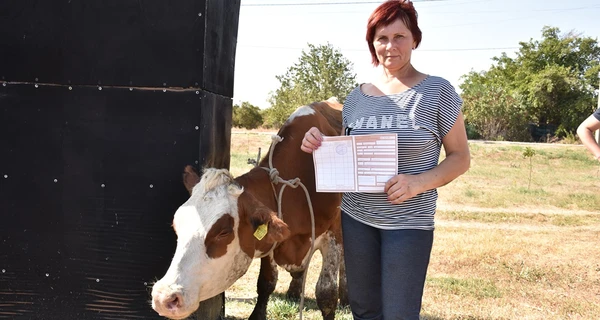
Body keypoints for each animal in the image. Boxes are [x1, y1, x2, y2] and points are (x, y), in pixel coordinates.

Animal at [152, 99, 344, 318]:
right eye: (177, 227)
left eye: (224, 232)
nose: (164, 297)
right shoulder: (272, 241)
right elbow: (266, 283)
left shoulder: (334, 235)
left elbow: (326, 294)